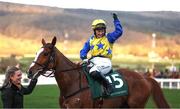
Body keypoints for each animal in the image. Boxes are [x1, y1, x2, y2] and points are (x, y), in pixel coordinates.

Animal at [27, 36, 169, 108]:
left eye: (45, 54)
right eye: (37, 52)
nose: (30, 71)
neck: (73, 82)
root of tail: (144, 77)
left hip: (136, 106)